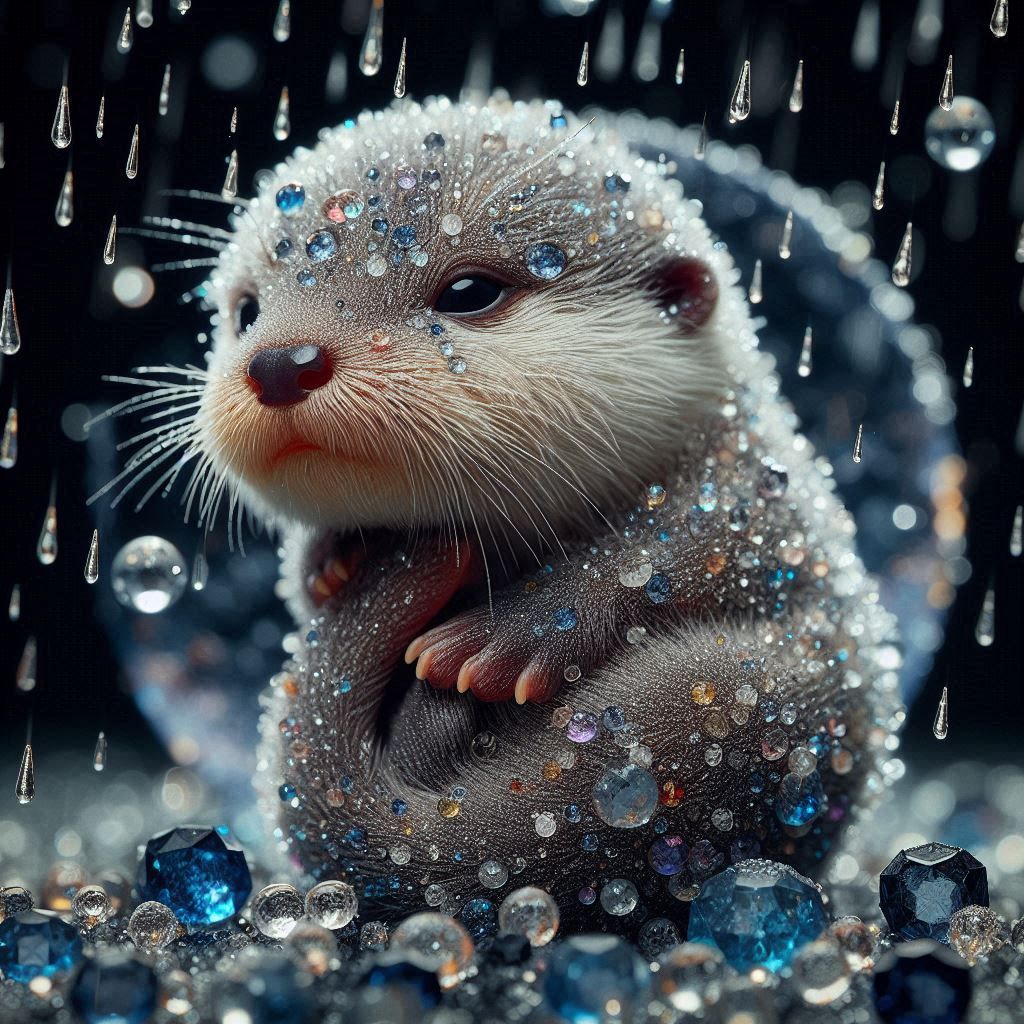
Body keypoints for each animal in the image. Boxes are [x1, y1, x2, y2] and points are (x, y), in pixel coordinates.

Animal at [191, 95, 901, 932]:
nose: (280, 362)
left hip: (744, 694)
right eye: (245, 310)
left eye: (469, 291)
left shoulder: (758, 502)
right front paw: (331, 561)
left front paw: (504, 640)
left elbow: (669, 551)